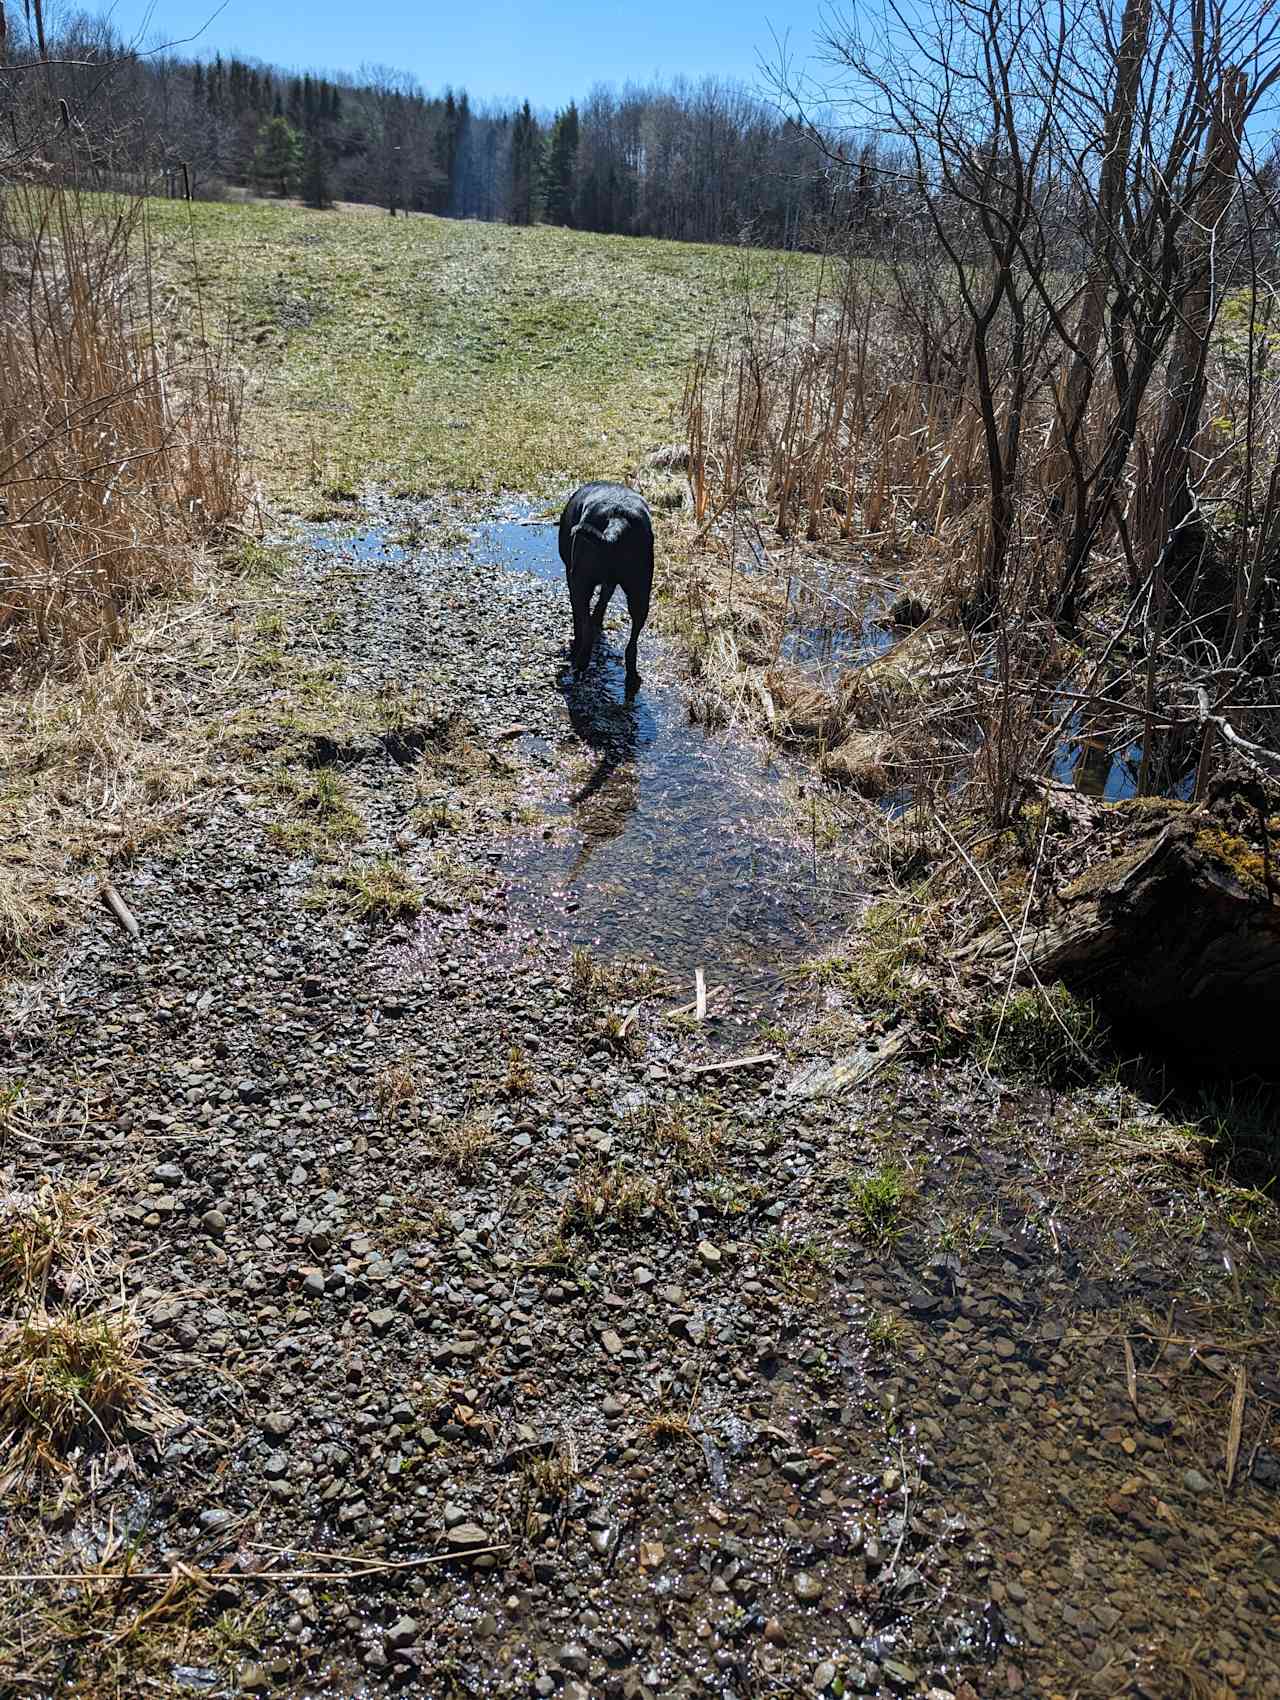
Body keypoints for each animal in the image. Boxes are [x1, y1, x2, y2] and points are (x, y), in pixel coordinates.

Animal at [554, 482, 649, 693]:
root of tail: (617, 520)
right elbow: (605, 596)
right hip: (641, 592)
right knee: (632, 645)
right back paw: (632, 678)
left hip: (580, 583)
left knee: (586, 628)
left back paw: (580, 661)